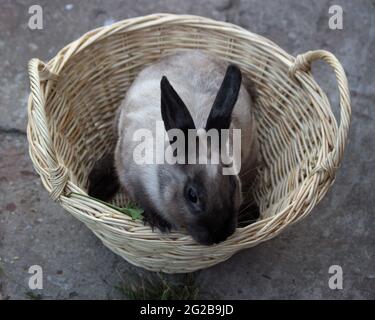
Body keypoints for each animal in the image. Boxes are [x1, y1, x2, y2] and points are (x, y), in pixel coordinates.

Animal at [88, 50, 258, 245]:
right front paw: (158, 223)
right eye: (191, 195)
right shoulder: (128, 176)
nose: (220, 235)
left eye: (233, 183)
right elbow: (142, 202)